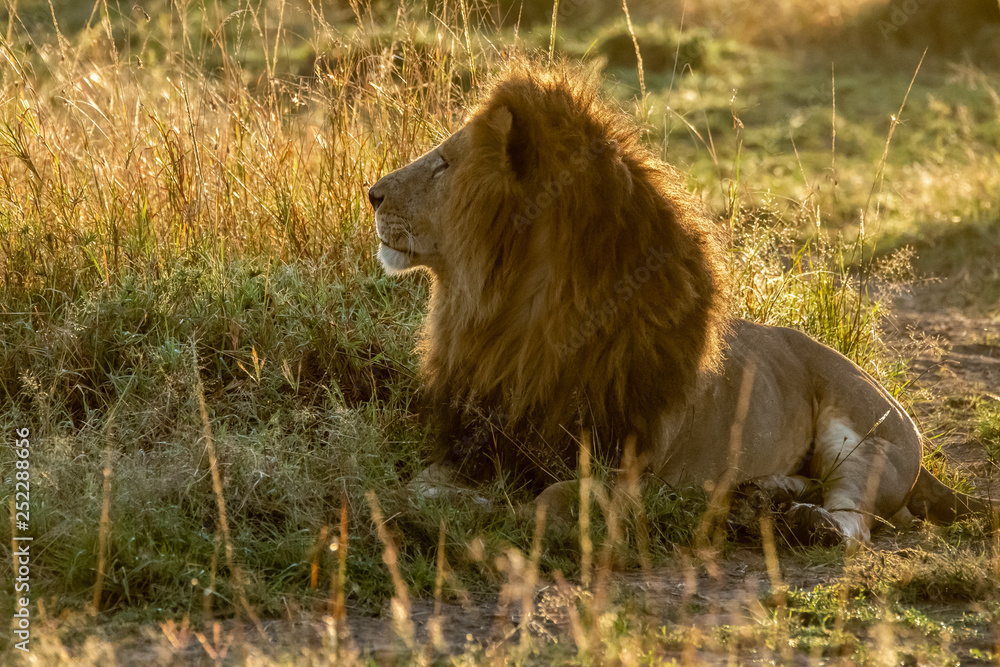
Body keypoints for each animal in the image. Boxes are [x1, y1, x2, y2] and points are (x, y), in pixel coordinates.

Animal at [367, 56, 995, 545]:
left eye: (444, 164)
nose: (370, 193)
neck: (521, 318)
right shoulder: (481, 438)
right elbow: (420, 483)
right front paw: (433, 503)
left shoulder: (634, 470)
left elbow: (557, 496)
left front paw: (503, 513)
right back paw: (759, 495)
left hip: (868, 440)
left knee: (856, 523)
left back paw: (802, 522)